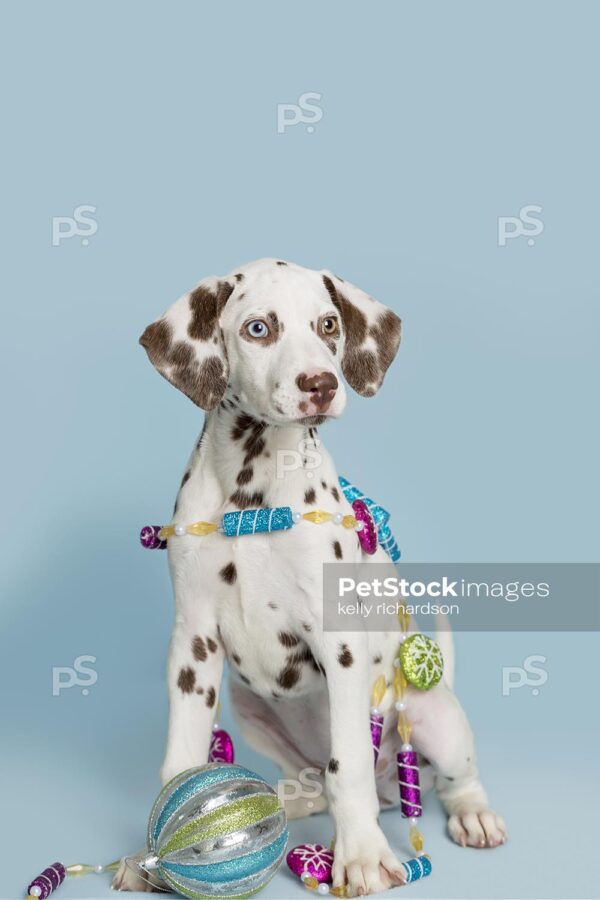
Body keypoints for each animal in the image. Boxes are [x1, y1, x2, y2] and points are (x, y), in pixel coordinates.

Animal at [113, 258, 506, 892]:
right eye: (258, 329)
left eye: (328, 324)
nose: (320, 383)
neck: (252, 491)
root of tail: (393, 789)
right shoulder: (193, 645)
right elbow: (180, 759)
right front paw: (153, 850)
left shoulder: (338, 640)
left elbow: (348, 763)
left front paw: (362, 856)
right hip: (249, 709)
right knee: (314, 781)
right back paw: (282, 799)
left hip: (433, 716)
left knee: (449, 776)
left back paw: (472, 814)